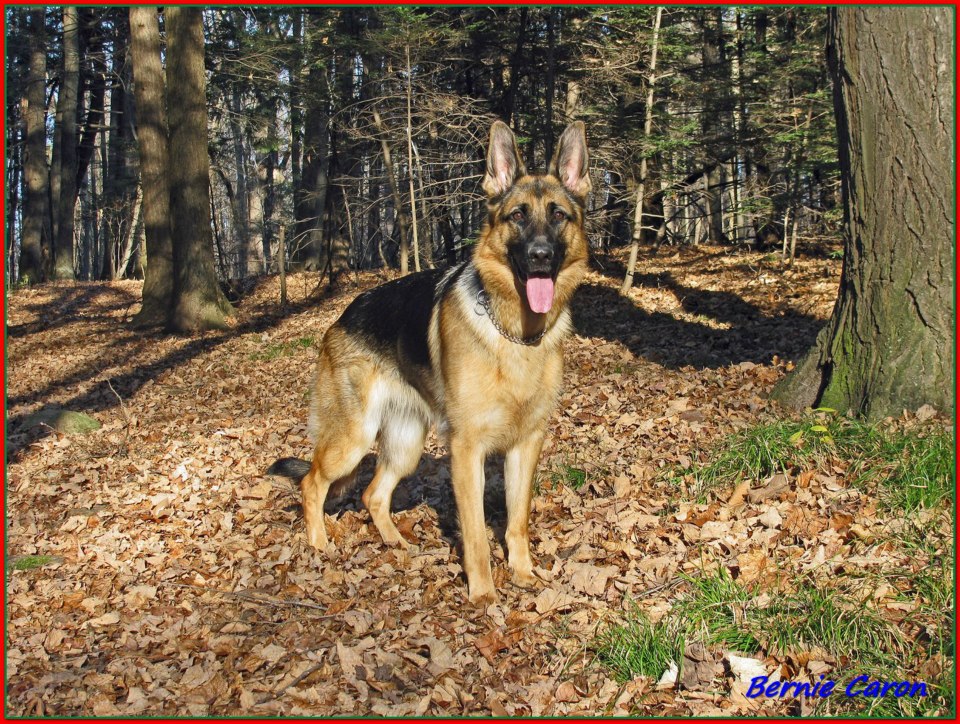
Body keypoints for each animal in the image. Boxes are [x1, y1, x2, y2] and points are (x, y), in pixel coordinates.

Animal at [266, 120, 588, 604]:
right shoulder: (467, 450)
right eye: (517, 216)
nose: (540, 257)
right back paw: (320, 543)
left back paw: (394, 541)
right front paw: (483, 592)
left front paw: (522, 573)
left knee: (372, 495)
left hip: (406, 446)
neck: (514, 335)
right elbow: (475, 532)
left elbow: (517, 520)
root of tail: (340, 317)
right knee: (312, 484)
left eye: (558, 216)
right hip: (353, 439)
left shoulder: (525, 445)